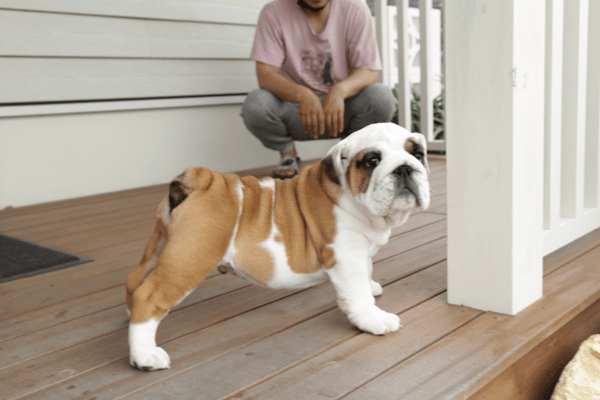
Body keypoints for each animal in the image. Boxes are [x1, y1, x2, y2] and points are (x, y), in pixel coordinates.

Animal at [125, 122, 430, 371]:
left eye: (417, 154)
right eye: (372, 160)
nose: (405, 167)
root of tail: (199, 180)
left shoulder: (361, 252)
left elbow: (366, 273)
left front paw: (371, 287)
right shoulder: (347, 255)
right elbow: (358, 294)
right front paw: (373, 319)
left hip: (160, 245)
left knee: (135, 282)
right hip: (191, 258)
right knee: (149, 297)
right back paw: (145, 356)